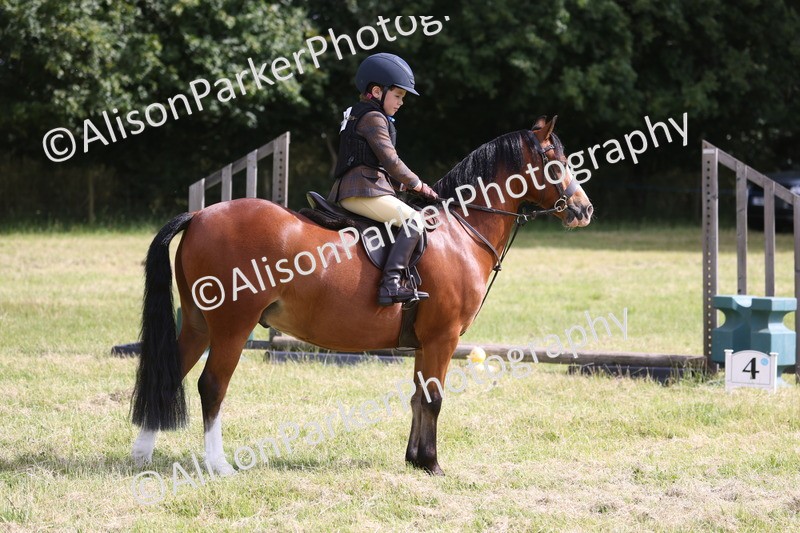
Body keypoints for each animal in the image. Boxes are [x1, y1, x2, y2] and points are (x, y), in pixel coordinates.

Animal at [130, 115, 593, 476]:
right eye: (555, 163)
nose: (583, 210)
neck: (462, 230)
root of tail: (200, 215)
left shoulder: (425, 342)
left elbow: (417, 396)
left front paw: (415, 459)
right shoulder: (442, 338)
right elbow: (434, 398)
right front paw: (432, 463)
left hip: (198, 323)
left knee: (170, 372)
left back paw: (141, 456)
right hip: (232, 326)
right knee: (212, 385)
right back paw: (219, 464)